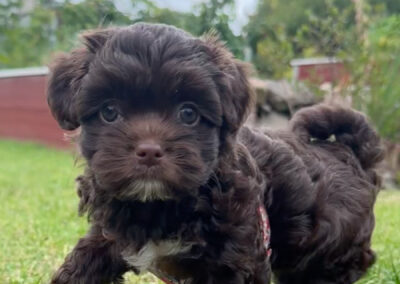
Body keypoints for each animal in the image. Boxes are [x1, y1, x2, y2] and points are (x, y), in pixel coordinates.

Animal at [47, 22, 384, 284]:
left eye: (188, 114)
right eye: (109, 112)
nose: (149, 150)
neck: (157, 205)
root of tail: (354, 155)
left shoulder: (235, 257)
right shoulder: (110, 235)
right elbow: (85, 260)